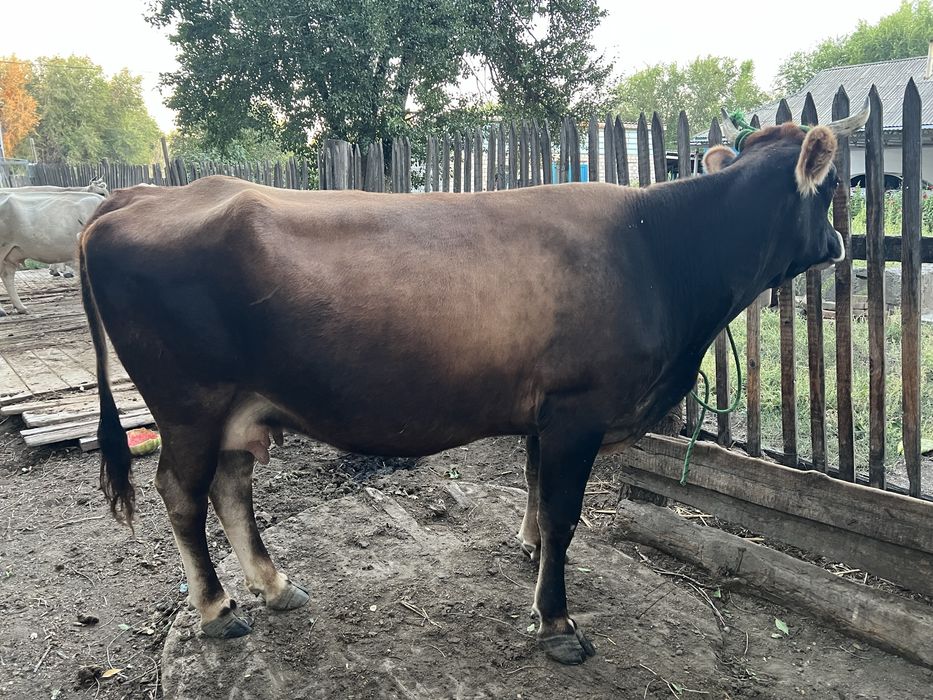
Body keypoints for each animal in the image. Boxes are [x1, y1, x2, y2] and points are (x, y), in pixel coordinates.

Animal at [79, 103, 869, 665]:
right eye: (832, 184)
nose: (839, 242)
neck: (659, 245)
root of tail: (133, 197)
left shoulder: (546, 411)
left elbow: (534, 490)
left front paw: (528, 552)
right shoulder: (578, 411)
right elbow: (564, 513)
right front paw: (556, 621)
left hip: (240, 406)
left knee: (231, 487)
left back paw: (274, 587)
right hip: (190, 403)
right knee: (182, 494)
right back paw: (217, 611)